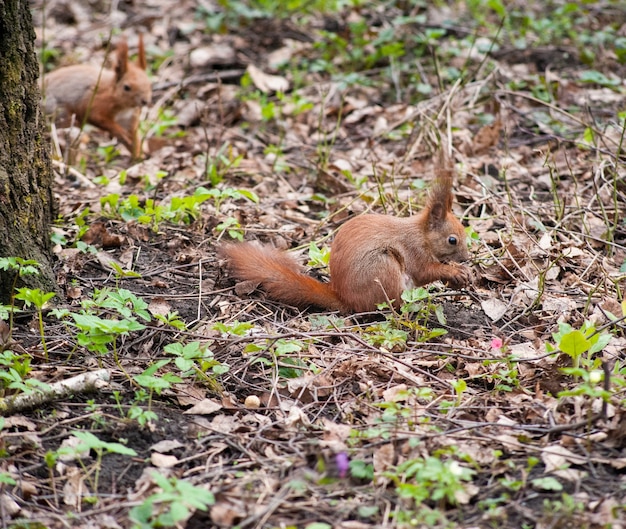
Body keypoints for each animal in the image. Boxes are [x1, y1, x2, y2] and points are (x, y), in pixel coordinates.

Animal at [222, 158, 470, 314]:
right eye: (452, 240)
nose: (466, 259)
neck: (423, 235)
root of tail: (345, 298)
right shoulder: (414, 250)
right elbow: (425, 271)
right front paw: (454, 271)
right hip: (383, 268)